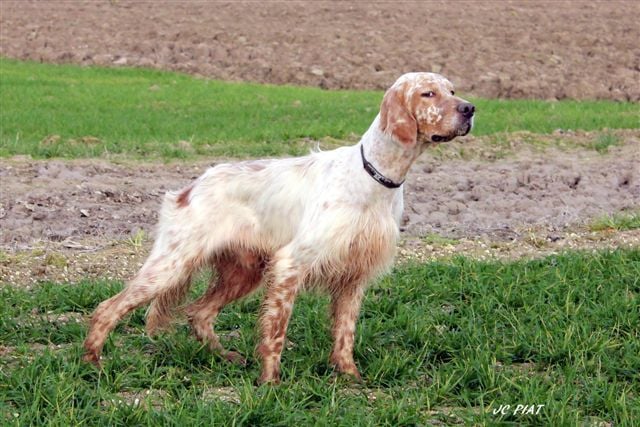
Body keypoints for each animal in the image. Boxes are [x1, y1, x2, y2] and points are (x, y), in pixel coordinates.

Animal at [83, 72, 475, 384]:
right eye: (428, 93)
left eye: (452, 90)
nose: (470, 109)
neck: (373, 175)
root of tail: (189, 188)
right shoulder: (291, 264)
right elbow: (276, 332)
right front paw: (270, 383)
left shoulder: (354, 275)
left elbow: (344, 334)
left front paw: (350, 377)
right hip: (172, 264)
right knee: (108, 308)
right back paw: (93, 365)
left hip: (243, 272)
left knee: (199, 313)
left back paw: (224, 357)